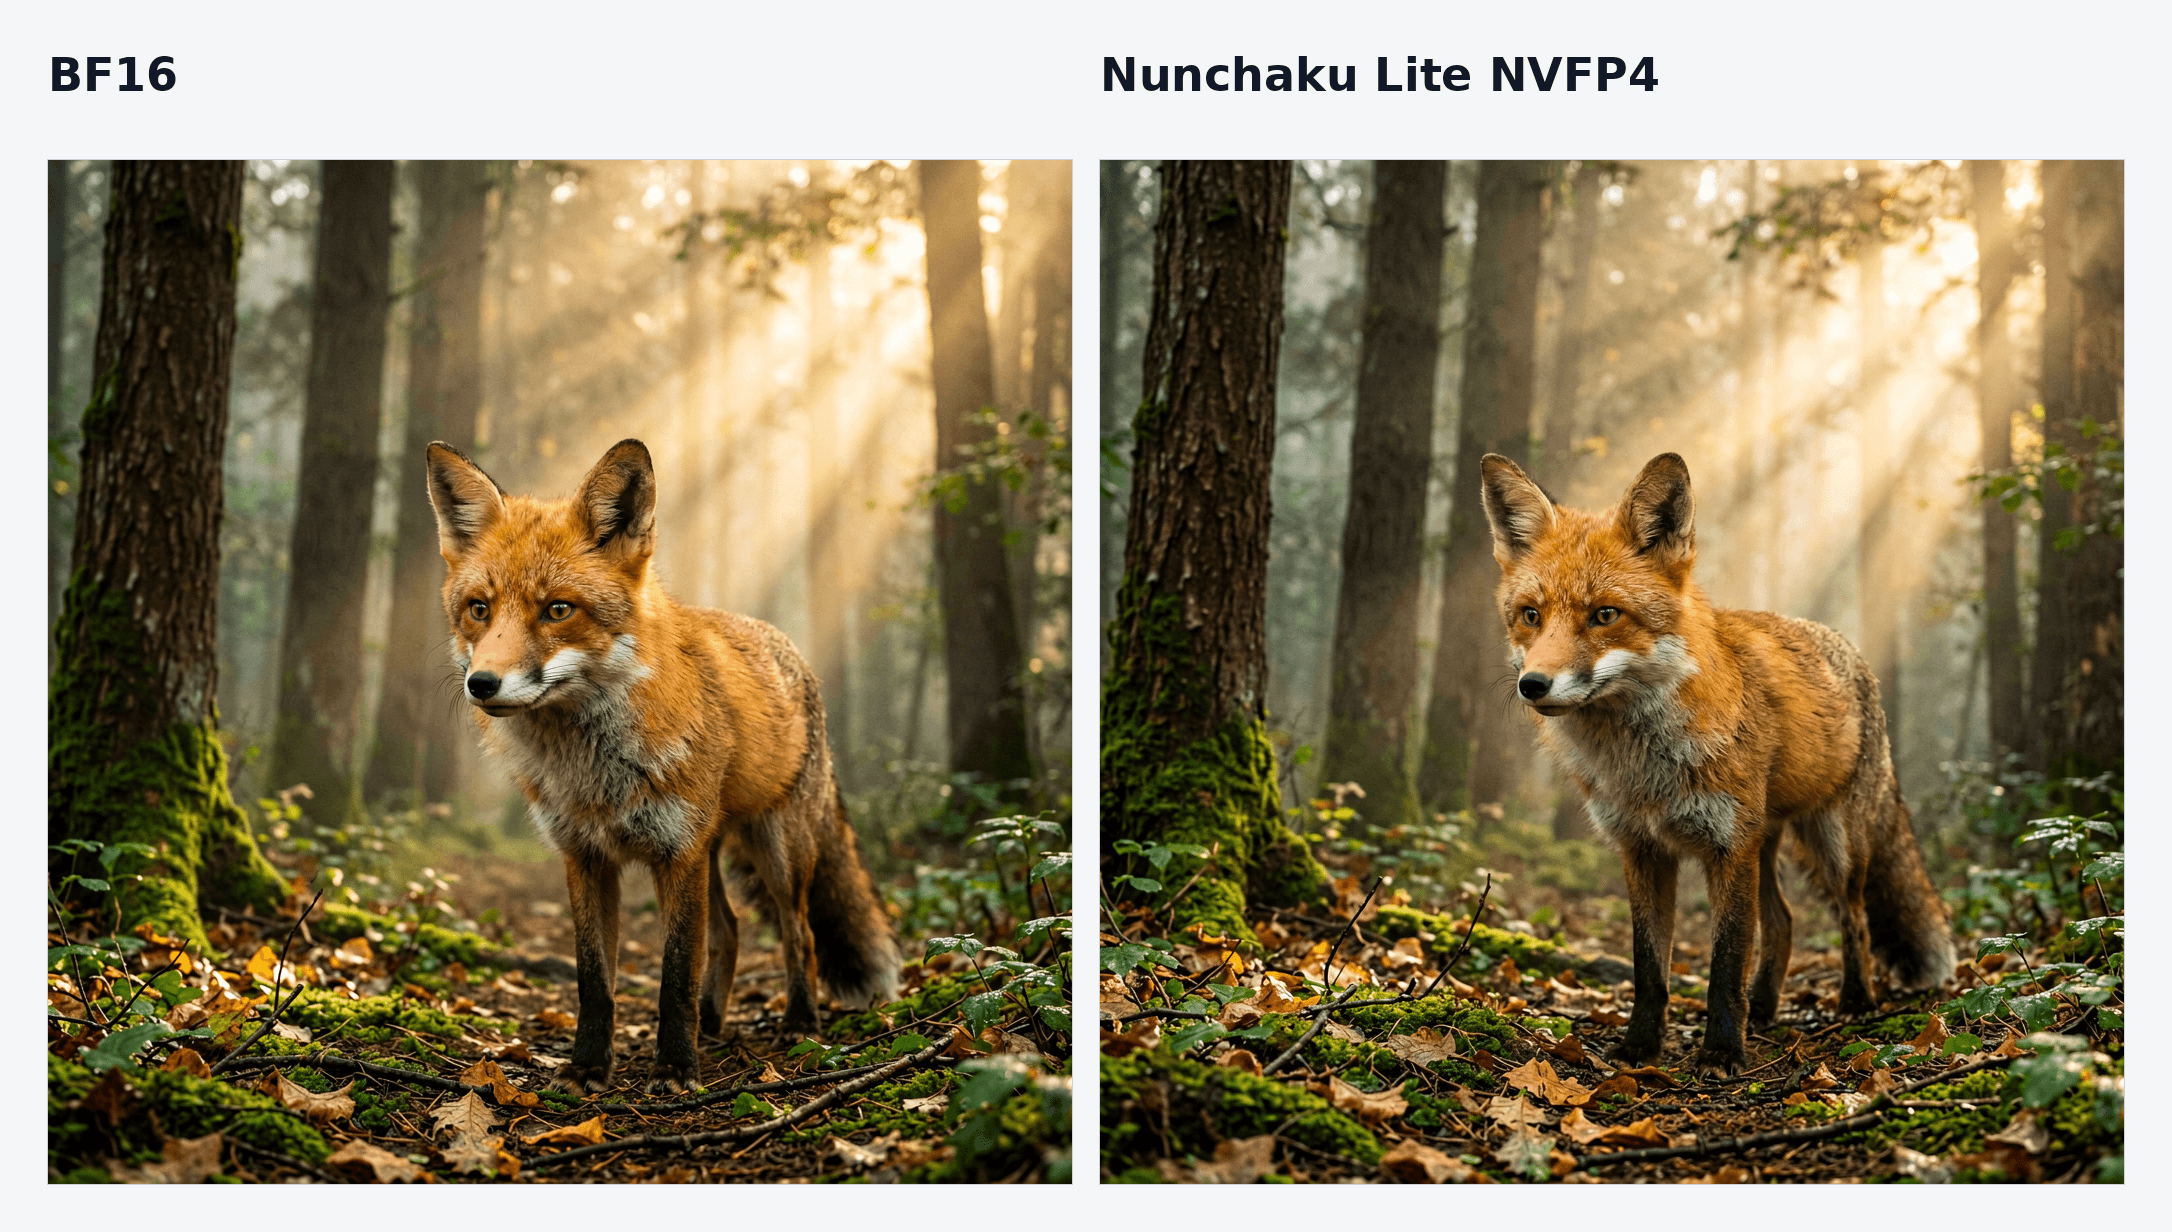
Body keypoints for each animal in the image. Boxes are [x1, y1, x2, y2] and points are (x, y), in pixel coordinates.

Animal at [424, 438, 901, 1094]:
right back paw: (714, 1021)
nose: (482, 684)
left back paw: (799, 1022)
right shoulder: (586, 856)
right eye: (478, 609)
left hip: (777, 851)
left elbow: (674, 975)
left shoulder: (676, 853)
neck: (595, 772)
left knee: (797, 933)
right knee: (728, 930)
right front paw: (588, 1066)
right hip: (714, 850)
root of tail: (788, 647)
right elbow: (594, 980)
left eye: (558, 610)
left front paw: (675, 1068)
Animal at [1478, 450, 1954, 1076]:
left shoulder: (1728, 846)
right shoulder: (1643, 848)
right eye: (1531, 615)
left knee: (1853, 919)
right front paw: (1641, 1047)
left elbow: (1724, 964)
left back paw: (1855, 1000)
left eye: (1605, 615)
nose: (1533, 685)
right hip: (1767, 842)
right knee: (1783, 921)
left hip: (1833, 844)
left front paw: (1723, 1050)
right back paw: (1767, 1008)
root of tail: (1846, 647)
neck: (1642, 771)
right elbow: (1649, 967)